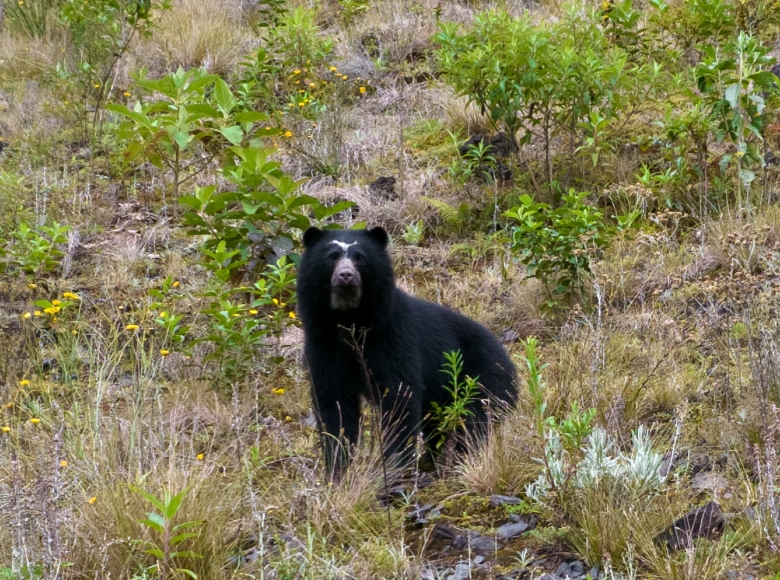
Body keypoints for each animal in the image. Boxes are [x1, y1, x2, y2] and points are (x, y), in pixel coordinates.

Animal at [298, 227, 516, 476]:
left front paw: (396, 467)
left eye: (360, 257)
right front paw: (338, 468)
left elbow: (399, 395)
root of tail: (507, 358)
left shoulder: (392, 338)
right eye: (331, 257)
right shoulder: (323, 344)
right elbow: (334, 402)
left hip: (482, 379)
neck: (350, 319)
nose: (346, 275)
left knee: (475, 420)